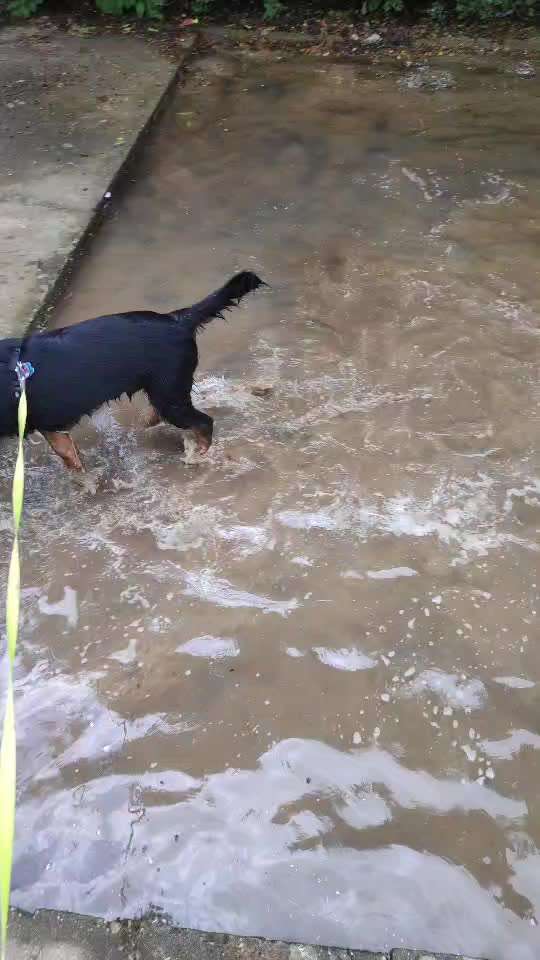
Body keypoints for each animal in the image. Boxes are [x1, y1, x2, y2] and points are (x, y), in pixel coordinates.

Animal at [0, 272, 264, 470]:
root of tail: (177, 319)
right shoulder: (49, 425)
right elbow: (67, 452)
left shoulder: (46, 422)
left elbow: (67, 454)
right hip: (165, 391)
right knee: (161, 414)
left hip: (171, 396)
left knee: (204, 422)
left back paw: (197, 454)